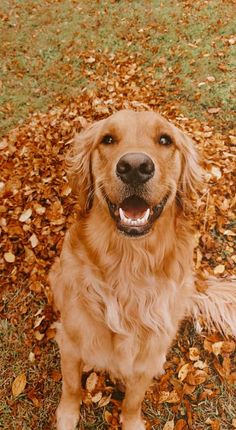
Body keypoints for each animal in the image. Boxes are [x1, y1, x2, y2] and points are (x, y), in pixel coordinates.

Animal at [48, 111, 235, 430]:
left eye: (165, 140)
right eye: (108, 139)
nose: (135, 167)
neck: (129, 269)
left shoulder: (146, 358)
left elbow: (133, 401)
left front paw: (131, 421)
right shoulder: (71, 344)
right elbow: (71, 386)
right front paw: (67, 416)